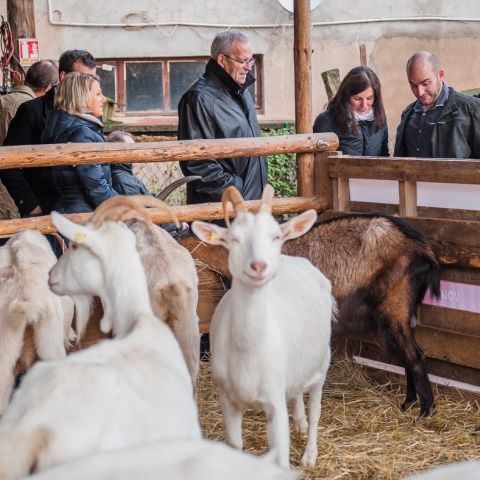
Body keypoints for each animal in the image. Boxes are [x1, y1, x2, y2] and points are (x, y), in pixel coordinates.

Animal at [193, 185, 336, 468]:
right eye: (233, 239)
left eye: (276, 236)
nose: (258, 266)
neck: (248, 352)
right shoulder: (228, 400)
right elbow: (235, 446)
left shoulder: (274, 402)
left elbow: (280, 456)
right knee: (298, 391)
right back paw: (300, 422)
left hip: (323, 360)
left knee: (316, 407)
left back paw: (309, 453)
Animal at [284, 213, 440, 416]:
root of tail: (422, 248)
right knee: (406, 357)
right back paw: (408, 403)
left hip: (395, 307)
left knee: (415, 357)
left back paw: (425, 412)